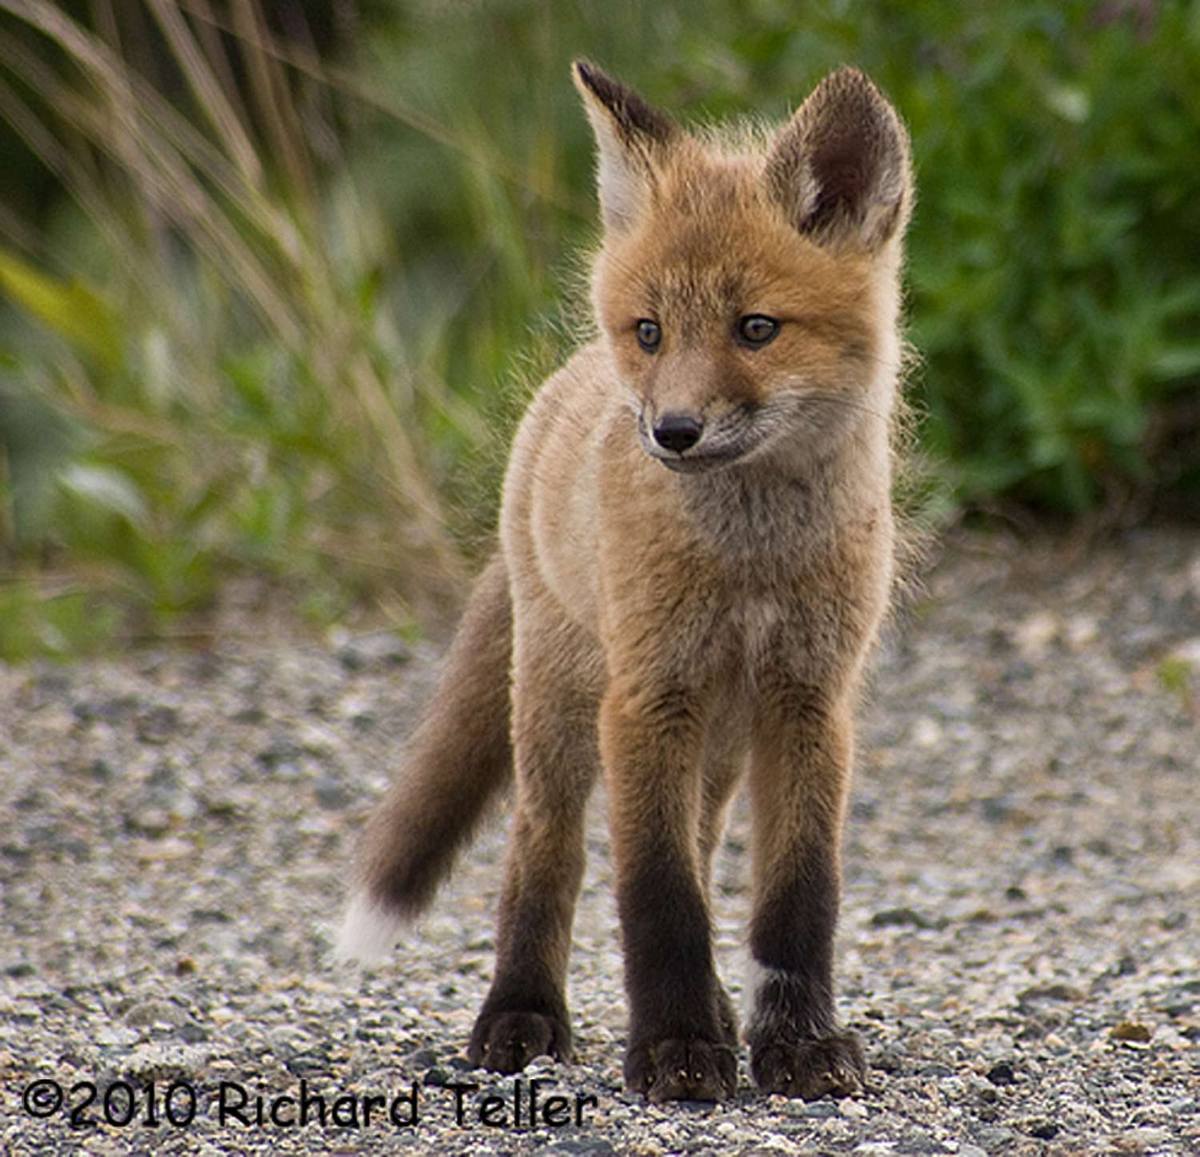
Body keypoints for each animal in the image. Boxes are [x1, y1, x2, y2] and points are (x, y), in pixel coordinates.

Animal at [337, 59, 914, 1103]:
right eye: (649, 331)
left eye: (756, 328)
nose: (672, 431)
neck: (749, 559)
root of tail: (560, 387)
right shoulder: (646, 697)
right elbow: (656, 895)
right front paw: (677, 1047)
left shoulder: (809, 701)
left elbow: (796, 898)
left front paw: (794, 1043)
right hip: (562, 707)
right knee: (546, 854)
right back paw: (521, 1012)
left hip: (719, 741)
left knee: (704, 846)